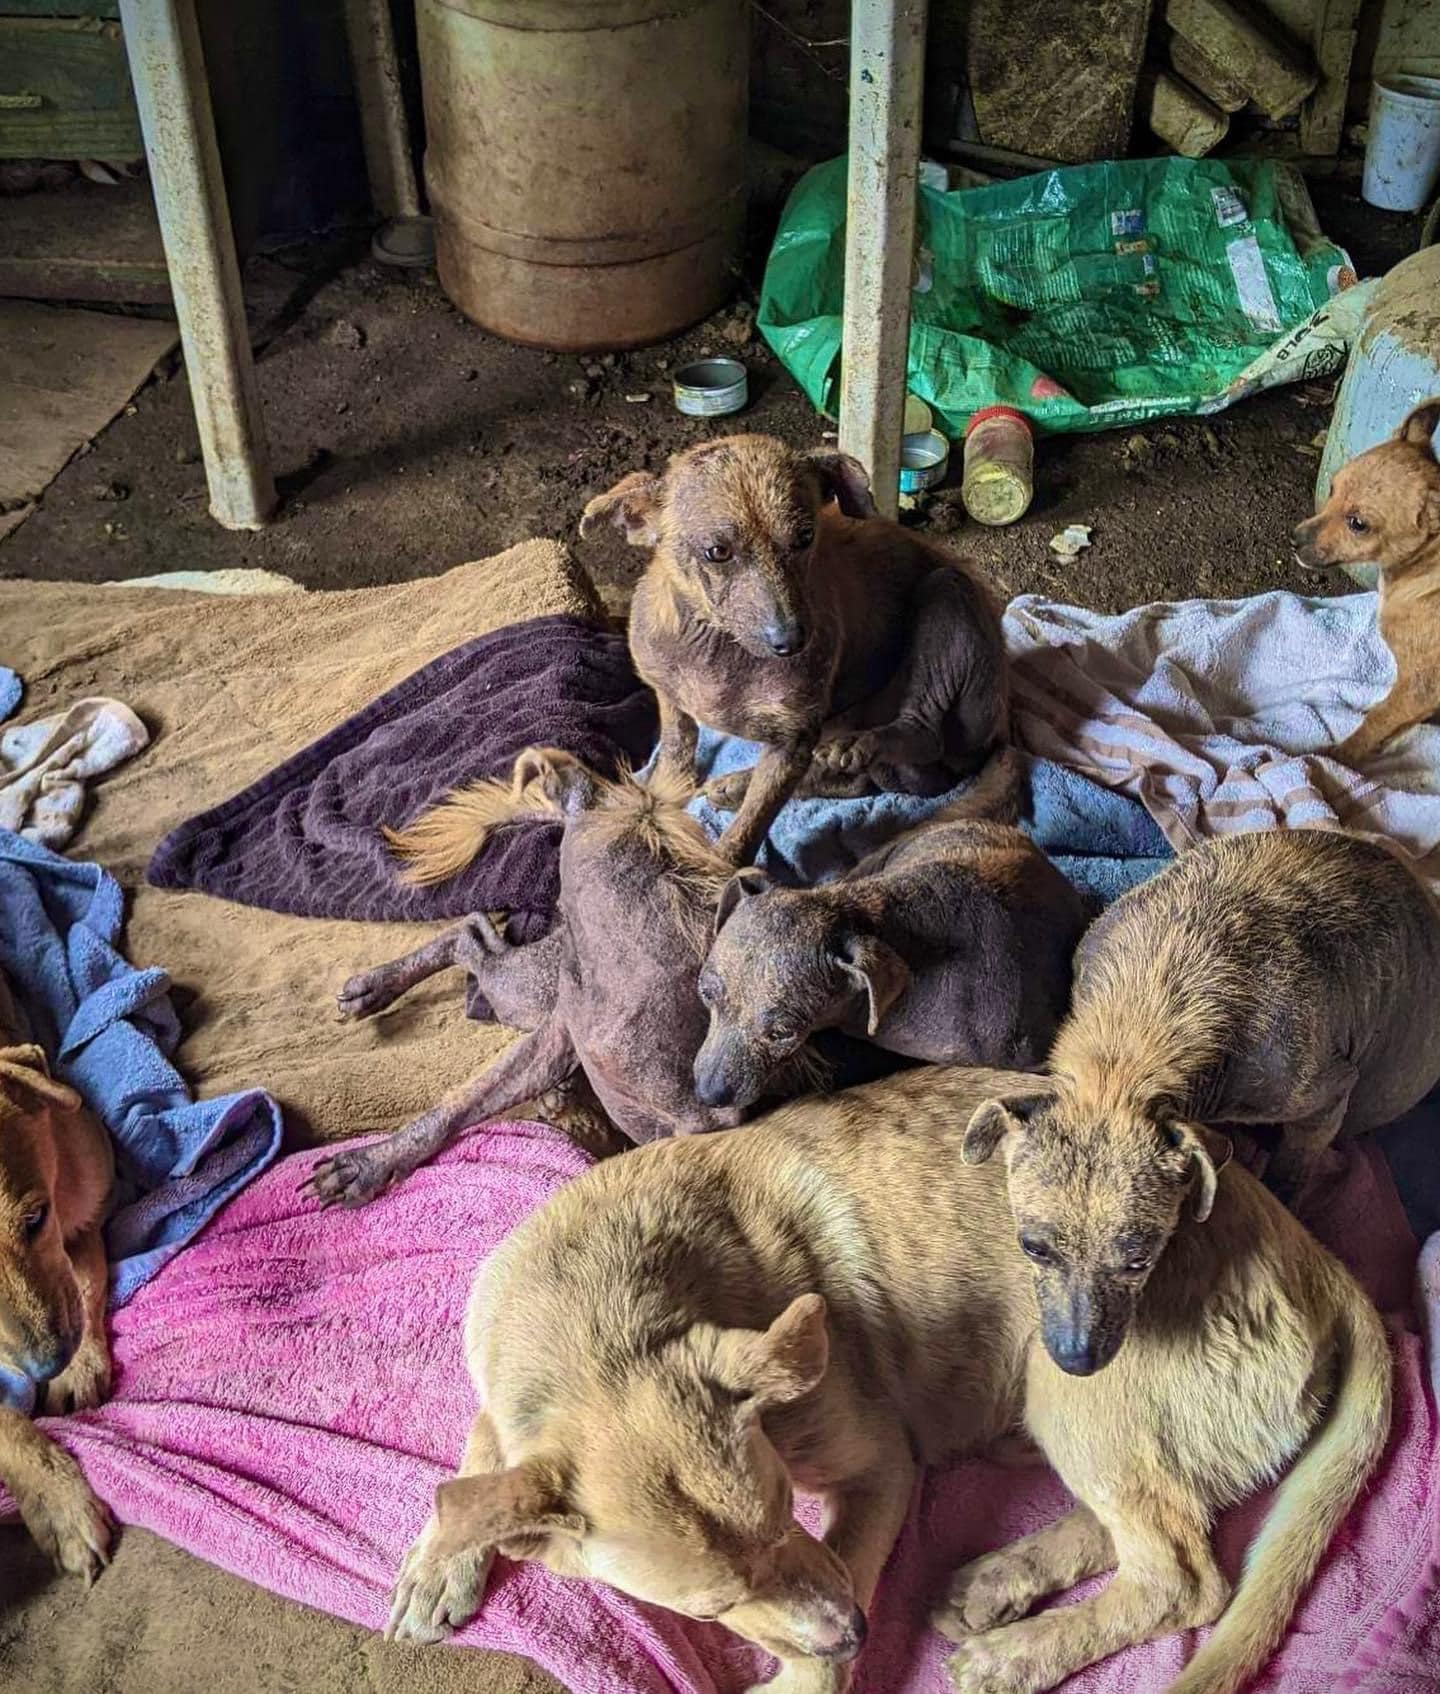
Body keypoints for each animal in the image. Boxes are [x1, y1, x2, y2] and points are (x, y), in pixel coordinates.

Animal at [387, 1057, 1389, 1694]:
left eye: (785, 1519)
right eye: (716, 1606)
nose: (864, 1633)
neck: (605, 1300)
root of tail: (1326, 1268)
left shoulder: (877, 1469)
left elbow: (831, 1611)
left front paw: (813, 1674)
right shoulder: (506, 1393)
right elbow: (480, 1462)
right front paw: (438, 1564)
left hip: (1070, 1377)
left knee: (1184, 1578)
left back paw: (1015, 1655)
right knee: (1156, 1530)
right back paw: (1002, 1583)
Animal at [1287, 396, 1436, 762]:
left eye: (1358, 524)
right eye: (1332, 488)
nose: (1294, 540)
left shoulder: (1421, 687)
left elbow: (1378, 722)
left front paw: (1336, 758)